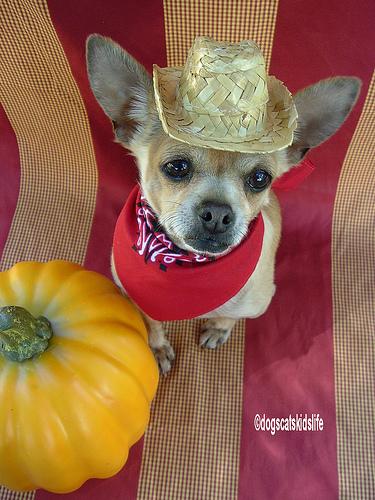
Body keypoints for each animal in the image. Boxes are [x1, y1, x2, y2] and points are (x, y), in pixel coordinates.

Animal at [85, 35, 362, 374]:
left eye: (260, 178)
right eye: (177, 167)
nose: (217, 214)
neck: (186, 264)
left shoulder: (257, 303)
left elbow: (230, 315)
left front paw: (218, 328)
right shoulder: (136, 297)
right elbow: (151, 322)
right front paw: (157, 347)